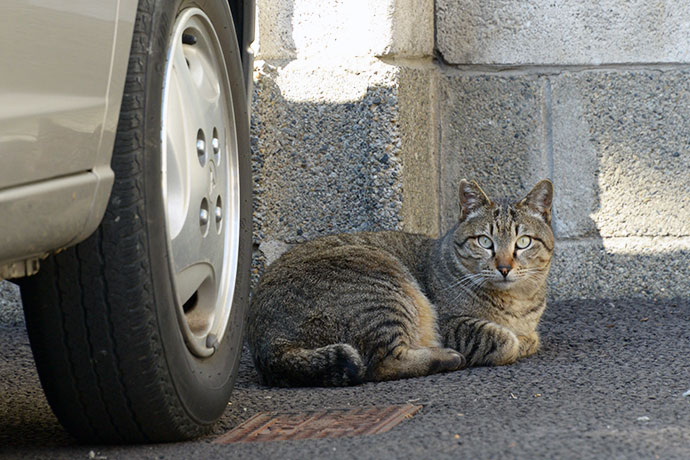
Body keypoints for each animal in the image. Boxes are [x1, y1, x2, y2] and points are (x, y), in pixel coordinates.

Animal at [245, 178, 552, 386]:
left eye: (523, 242)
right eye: (485, 242)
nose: (504, 267)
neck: (517, 302)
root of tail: (268, 344)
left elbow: (530, 337)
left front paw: (527, 338)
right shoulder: (451, 324)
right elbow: (506, 341)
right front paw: (516, 341)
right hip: (383, 291)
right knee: (383, 363)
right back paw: (446, 356)